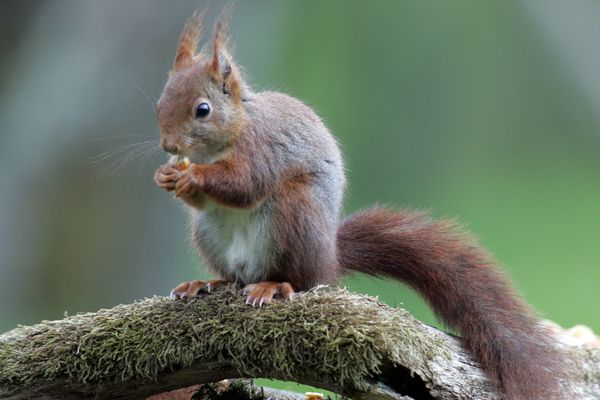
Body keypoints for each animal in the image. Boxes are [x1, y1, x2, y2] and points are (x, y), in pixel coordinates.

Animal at [152, 8, 568, 400]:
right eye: (159, 103)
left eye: (202, 109)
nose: (169, 146)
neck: (228, 135)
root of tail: (330, 256)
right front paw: (167, 176)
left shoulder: (263, 149)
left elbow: (245, 185)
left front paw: (193, 177)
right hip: (208, 234)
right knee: (234, 275)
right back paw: (208, 282)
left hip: (294, 213)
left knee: (303, 279)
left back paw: (274, 285)